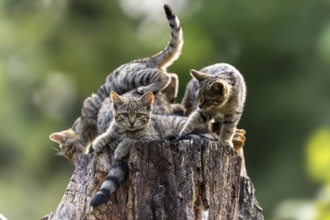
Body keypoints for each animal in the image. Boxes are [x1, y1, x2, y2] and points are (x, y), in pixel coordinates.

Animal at [49, 3, 183, 162]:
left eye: (69, 151)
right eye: (67, 155)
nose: (74, 162)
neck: (83, 123)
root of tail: (147, 59)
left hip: (132, 76)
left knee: (165, 76)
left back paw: (146, 89)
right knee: (173, 76)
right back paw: (171, 96)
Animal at [89, 90, 217, 206]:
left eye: (139, 115)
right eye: (125, 114)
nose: (131, 122)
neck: (125, 131)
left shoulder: (151, 137)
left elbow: (132, 139)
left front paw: (121, 149)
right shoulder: (115, 129)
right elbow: (109, 133)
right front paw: (99, 141)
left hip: (182, 125)